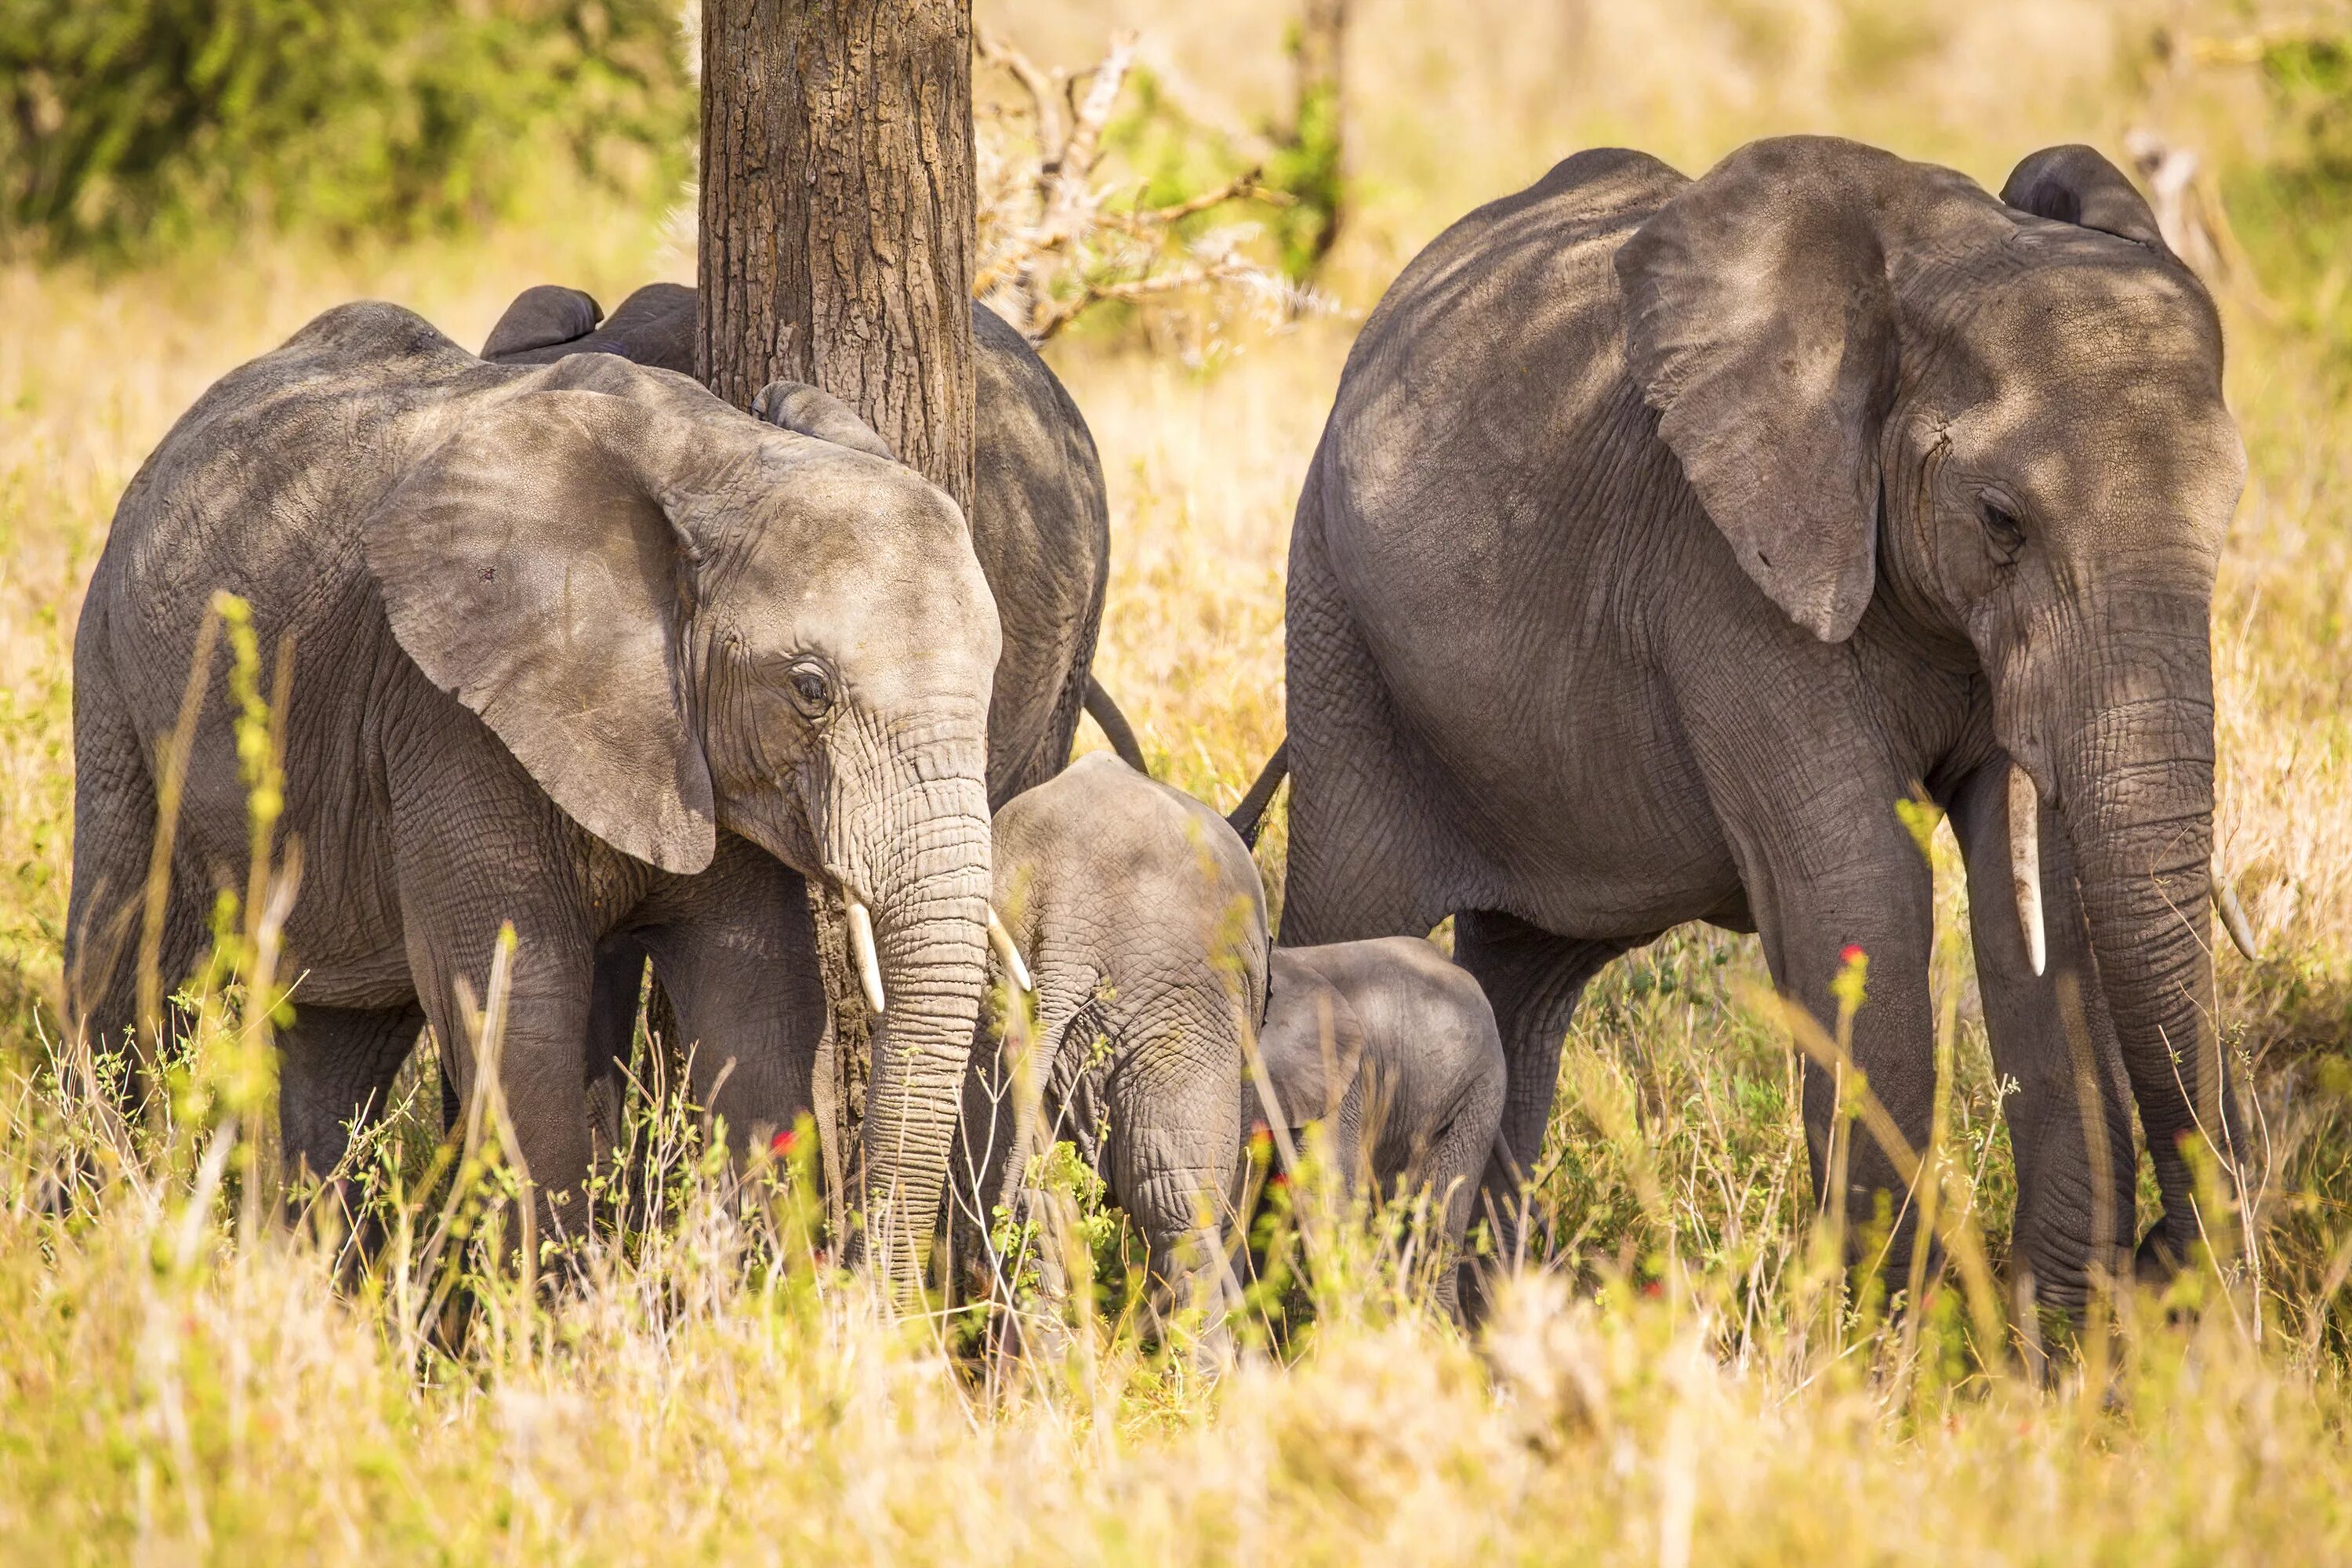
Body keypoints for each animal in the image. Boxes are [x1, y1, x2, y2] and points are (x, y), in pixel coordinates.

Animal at [64, 305, 1002, 1288]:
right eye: (810, 689)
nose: (878, 1289)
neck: (717, 462)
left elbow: (761, 1002)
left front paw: (757, 1300)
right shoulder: (448, 711)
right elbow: (521, 1007)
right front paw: (561, 1312)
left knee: (340, 1040)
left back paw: (313, 1283)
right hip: (115, 673)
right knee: (127, 962)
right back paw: (103, 1223)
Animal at [1279, 138, 2249, 1316]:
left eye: (2228, 512)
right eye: (2001, 520)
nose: (2161, 1259)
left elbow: (2032, 894)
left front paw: (2043, 1340)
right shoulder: (1725, 576)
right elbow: (1861, 889)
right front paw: (1892, 1342)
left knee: (1523, 982)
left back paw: (1478, 1315)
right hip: (1337, 628)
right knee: (1351, 917)